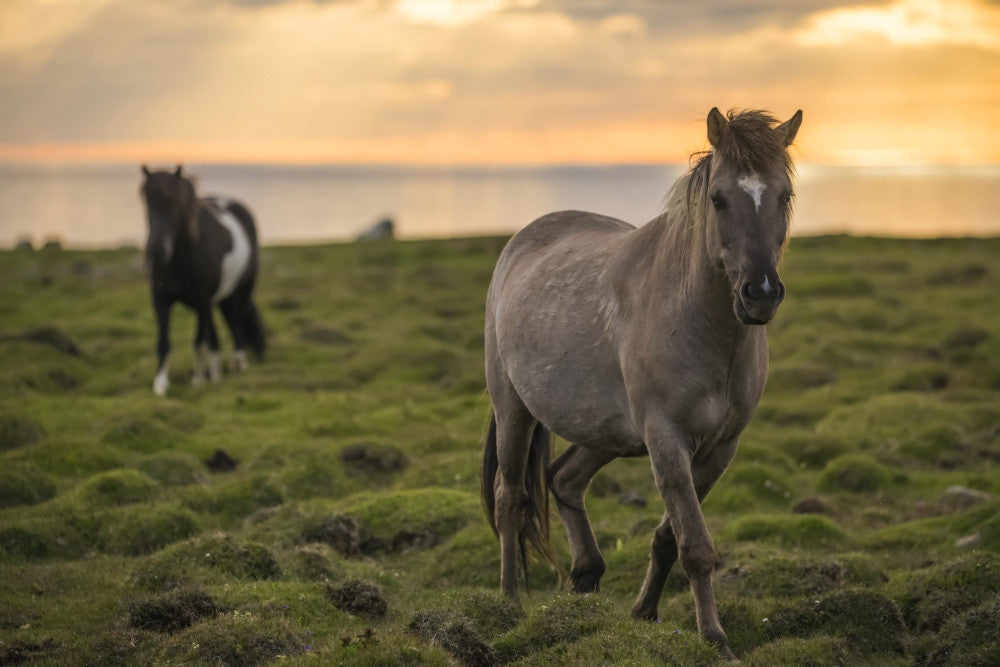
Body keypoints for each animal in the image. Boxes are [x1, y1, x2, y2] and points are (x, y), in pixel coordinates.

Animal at [139, 165, 265, 396]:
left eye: (175, 202)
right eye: (146, 200)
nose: (157, 250)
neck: (179, 262)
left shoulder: (202, 302)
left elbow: (198, 341)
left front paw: (198, 379)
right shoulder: (161, 300)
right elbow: (163, 341)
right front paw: (160, 383)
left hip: (243, 289)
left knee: (237, 319)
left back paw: (238, 361)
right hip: (222, 299)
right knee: (223, 326)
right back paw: (218, 370)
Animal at [481, 108, 802, 660]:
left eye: (784, 195)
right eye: (718, 198)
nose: (760, 294)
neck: (701, 324)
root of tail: (523, 241)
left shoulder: (718, 449)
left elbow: (670, 539)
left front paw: (644, 613)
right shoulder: (667, 439)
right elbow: (695, 545)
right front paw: (715, 640)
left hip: (606, 432)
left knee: (564, 479)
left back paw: (586, 577)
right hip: (514, 411)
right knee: (510, 499)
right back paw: (509, 602)